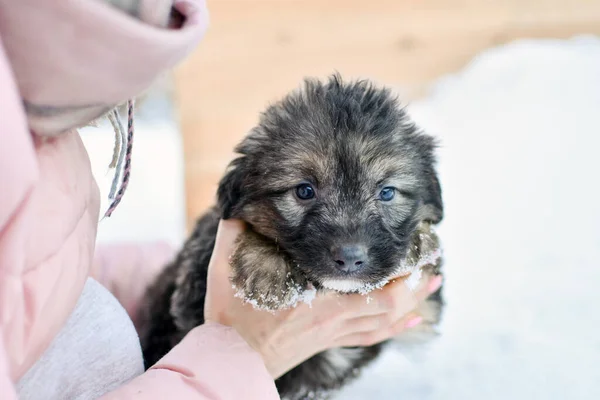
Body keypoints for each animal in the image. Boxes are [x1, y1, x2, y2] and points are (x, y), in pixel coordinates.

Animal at [137, 75, 446, 400]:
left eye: (386, 193)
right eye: (304, 191)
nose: (350, 257)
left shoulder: (417, 318)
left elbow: (426, 305)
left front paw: (420, 243)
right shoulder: (192, 289)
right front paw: (268, 272)